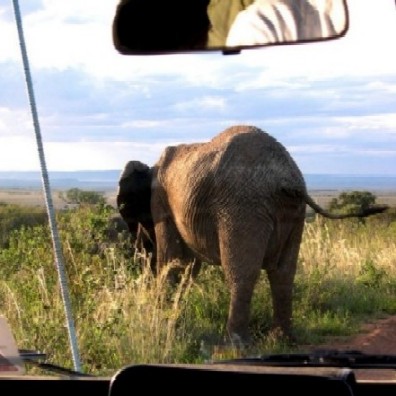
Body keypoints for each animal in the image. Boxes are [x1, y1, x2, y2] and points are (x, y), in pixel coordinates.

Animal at [116, 125, 388, 342]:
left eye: (128, 214)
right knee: (283, 273)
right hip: (292, 213)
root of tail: (289, 179)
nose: (139, 250)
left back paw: (233, 345)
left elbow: (173, 262)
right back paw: (281, 340)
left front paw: (165, 325)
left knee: (241, 273)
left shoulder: (161, 202)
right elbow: (187, 267)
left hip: (242, 208)